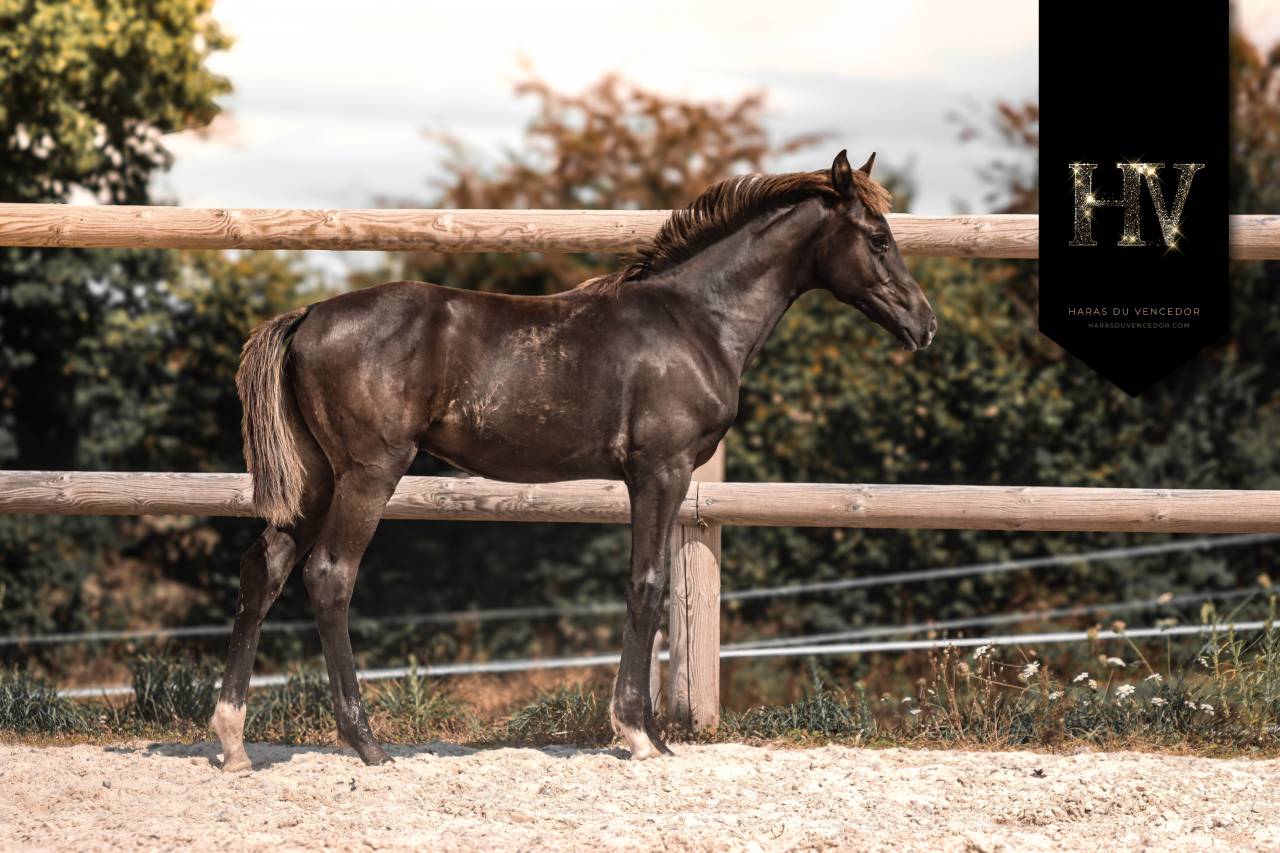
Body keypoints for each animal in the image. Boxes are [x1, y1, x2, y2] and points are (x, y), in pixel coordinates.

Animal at [210, 150, 936, 771]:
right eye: (878, 237)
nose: (924, 325)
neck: (695, 320)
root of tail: (308, 315)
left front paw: (644, 731)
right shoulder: (661, 472)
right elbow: (647, 584)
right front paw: (640, 734)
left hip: (315, 479)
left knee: (264, 569)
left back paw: (234, 741)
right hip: (368, 473)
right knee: (330, 574)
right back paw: (366, 743)